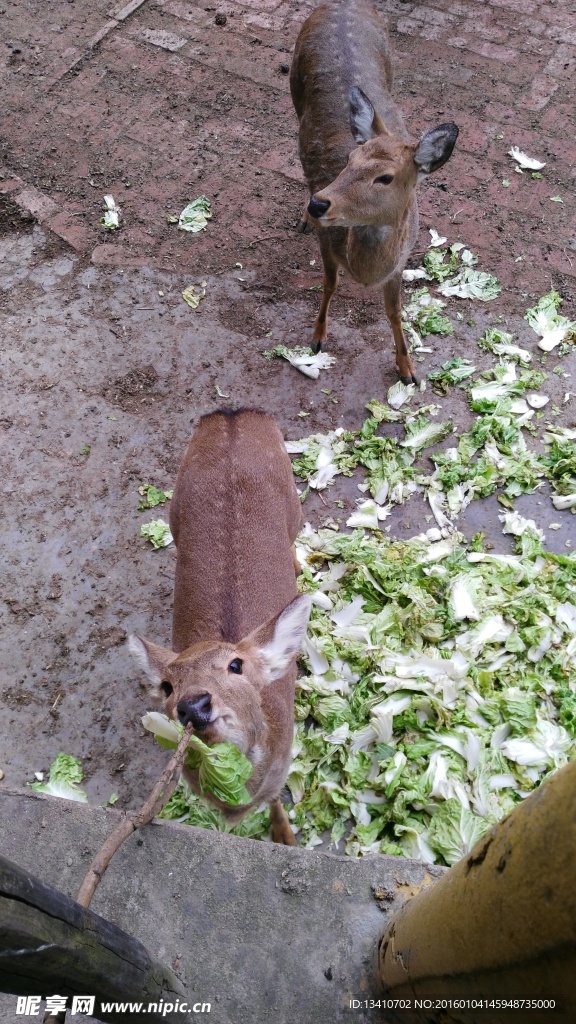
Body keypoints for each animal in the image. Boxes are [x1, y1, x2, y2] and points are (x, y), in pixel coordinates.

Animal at [129, 407, 309, 847]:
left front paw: (285, 836)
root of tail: (230, 413)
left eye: (236, 665)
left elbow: (276, 799)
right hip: (174, 511)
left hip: (293, 500)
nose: (194, 705)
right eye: (167, 686)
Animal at [291, 0, 457, 385]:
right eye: (349, 160)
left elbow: (395, 310)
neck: (366, 271)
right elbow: (329, 284)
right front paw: (317, 339)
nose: (318, 204)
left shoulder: (402, 259)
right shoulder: (327, 240)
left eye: (385, 177)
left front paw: (408, 370)